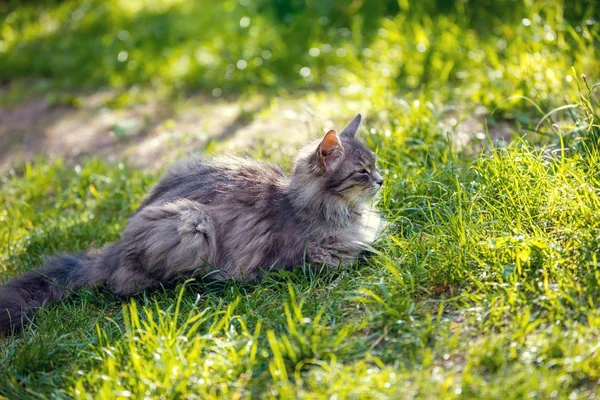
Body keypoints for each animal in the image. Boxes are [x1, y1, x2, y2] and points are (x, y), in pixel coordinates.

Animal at [0, 114, 384, 332]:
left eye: (376, 164)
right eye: (362, 172)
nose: (382, 180)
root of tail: (114, 248)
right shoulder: (309, 256)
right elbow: (359, 251)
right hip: (190, 221)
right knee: (126, 285)